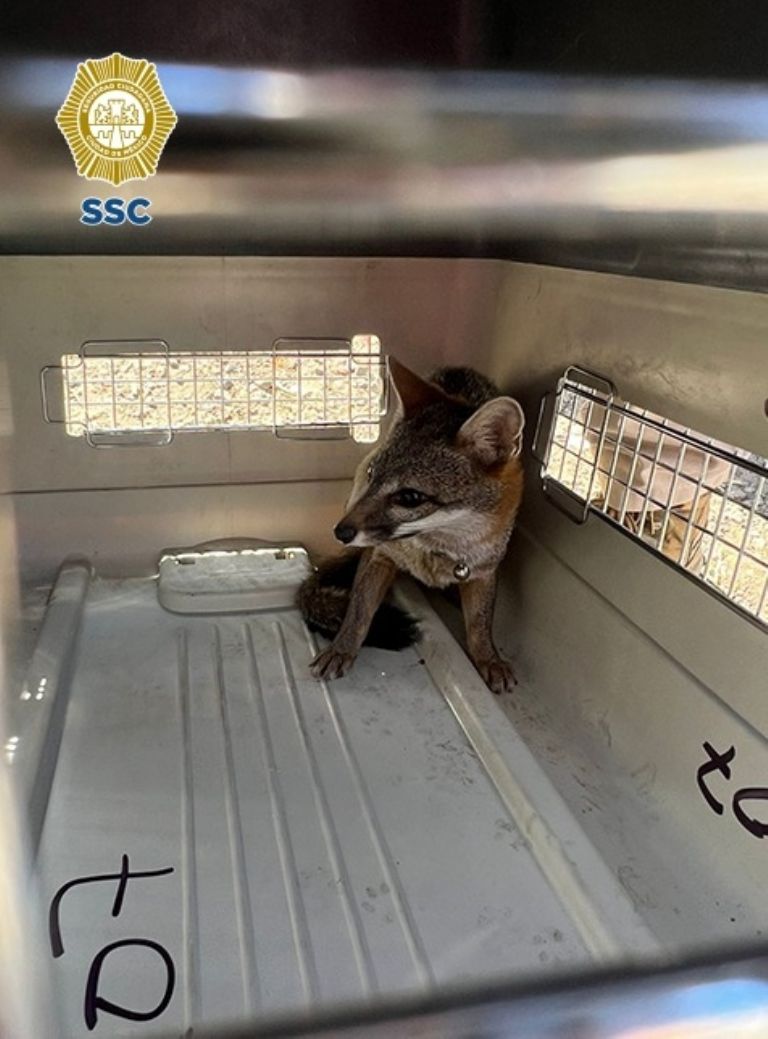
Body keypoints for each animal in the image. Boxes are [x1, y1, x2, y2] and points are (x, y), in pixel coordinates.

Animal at [298, 359, 525, 694]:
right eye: (372, 474)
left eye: (409, 497)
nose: (340, 532)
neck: (434, 548)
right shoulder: (378, 556)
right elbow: (358, 610)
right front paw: (342, 648)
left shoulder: (484, 570)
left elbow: (480, 624)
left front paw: (489, 658)